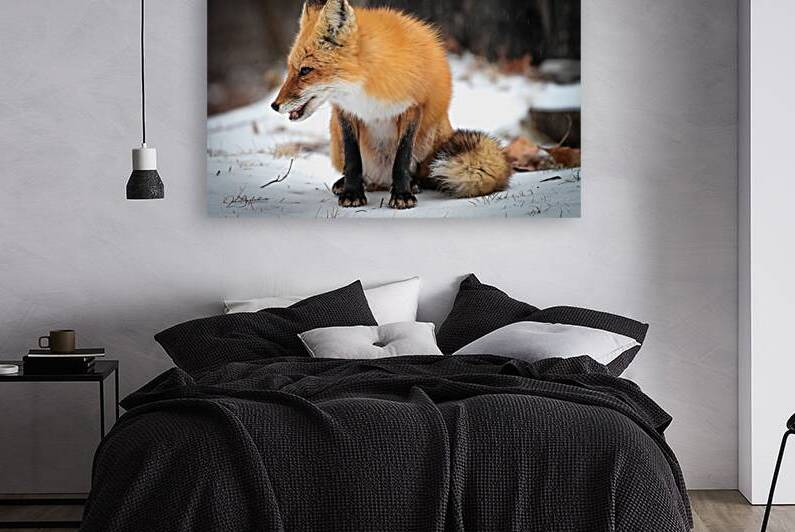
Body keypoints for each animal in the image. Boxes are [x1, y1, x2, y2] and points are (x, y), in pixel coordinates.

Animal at [271, 0, 513, 210]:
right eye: (291, 69)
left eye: (305, 70)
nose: (274, 105)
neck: (364, 87)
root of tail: (381, 178)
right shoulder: (346, 112)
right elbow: (353, 160)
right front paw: (352, 192)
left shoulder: (412, 107)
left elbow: (402, 159)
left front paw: (402, 195)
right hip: (335, 137)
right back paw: (347, 184)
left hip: (428, 139)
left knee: (419, 173)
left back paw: (412, 184)